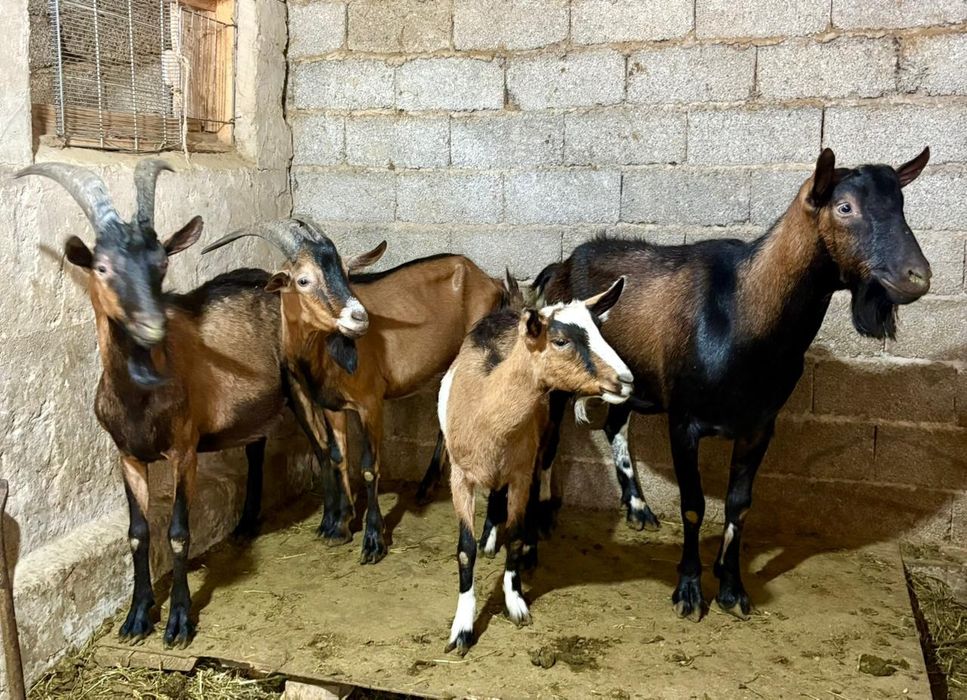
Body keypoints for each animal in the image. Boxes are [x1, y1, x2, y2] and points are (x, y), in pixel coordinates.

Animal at [16, 162, 327, 648]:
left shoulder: (184, 449)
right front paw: (137, 617)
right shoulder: (126, 455)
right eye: (102, 266)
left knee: (325, 441)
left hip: (300, 383)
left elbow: (179, 532)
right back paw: (247, 524)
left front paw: (179, 620)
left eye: (161, 262)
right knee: (257, 447)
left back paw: (337, 522)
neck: (140, 397)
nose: (151, 325)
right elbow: (138, 533)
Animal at [202, 224, 506, 563]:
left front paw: (373, 541)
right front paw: (339, 527)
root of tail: (489, 279)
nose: (359, 318)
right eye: (303, 280)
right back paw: (426, 487)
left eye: (347, 274)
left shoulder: (370, 404)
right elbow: (338, 457)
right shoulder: (332, 406)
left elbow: (369, 467)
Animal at [440, 278, 632, 655]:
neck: (484, 406)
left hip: (551, 424)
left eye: (600, 330)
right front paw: (462, 629)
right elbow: (465, 551)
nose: (626, 380)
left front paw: (515, 602)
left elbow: (514, 536)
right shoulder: (460, 478)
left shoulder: (520, 472)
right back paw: (490, 536)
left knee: (544, 469)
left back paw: (534, 536)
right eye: (560, 341)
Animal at [532, 147, 933, 621]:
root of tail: (560, 266)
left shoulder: (760, 425)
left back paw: (638, 508)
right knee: (549, 442)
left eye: (901, 203)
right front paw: (689, 592)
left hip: (628, 379)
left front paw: (732, 588)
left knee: (614, 426)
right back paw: (541, 522)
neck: (742, 315)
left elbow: (738, 506)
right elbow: (693, 505)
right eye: (845, 207)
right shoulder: (684, 420)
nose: (917, 276)